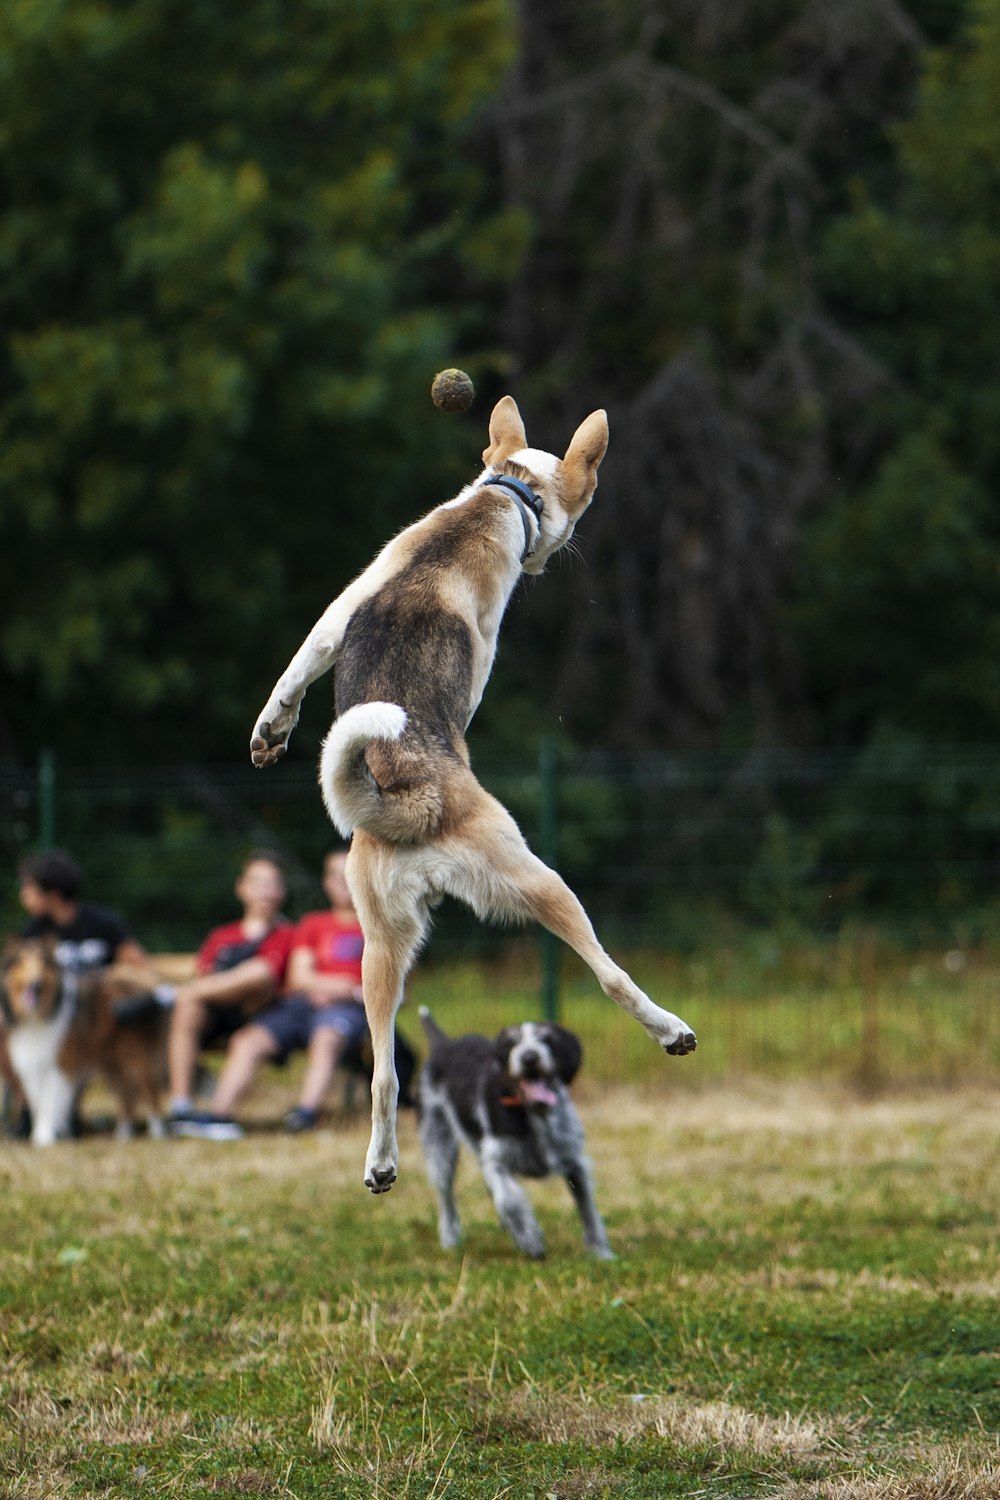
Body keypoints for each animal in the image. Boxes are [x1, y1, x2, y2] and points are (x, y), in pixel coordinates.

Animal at [0, 936, 167, 1146]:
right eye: (21, 961)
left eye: (43, 963)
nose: (35, 984)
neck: (40, 1015)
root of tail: (145, 984)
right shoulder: (33, 1063)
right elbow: (38, 1101)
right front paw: (42, 1134)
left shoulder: (59, 1063)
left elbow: (50, 1101)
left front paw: (45, 1137)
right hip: (113, 1065)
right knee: (127, 1097)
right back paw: (123, 1133)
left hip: (137, 1060)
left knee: (151, 1094)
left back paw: (157, 1132)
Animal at [250, 396, 695, 1194]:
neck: (503, 492)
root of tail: (412, 795)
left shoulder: (336, 616)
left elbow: (297, 670)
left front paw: (270, 733)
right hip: (539, 881)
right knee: (609, 974)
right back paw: (670, 1029)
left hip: (379, 950)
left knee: (384, 1073)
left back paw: (382, 1164)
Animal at [419, 1008, 614, 1254]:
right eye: (512, 1043)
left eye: (547, 1039)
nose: (529, 1057)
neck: (535, 1115)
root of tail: (444, 1043)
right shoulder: (497, 1162)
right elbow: (510, 1201)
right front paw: (530, 1239)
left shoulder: (575, 1162)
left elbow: (588, 1206)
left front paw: (600, 1252)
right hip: (440, 1148)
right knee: (446, 1197)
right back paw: (450, 1239)